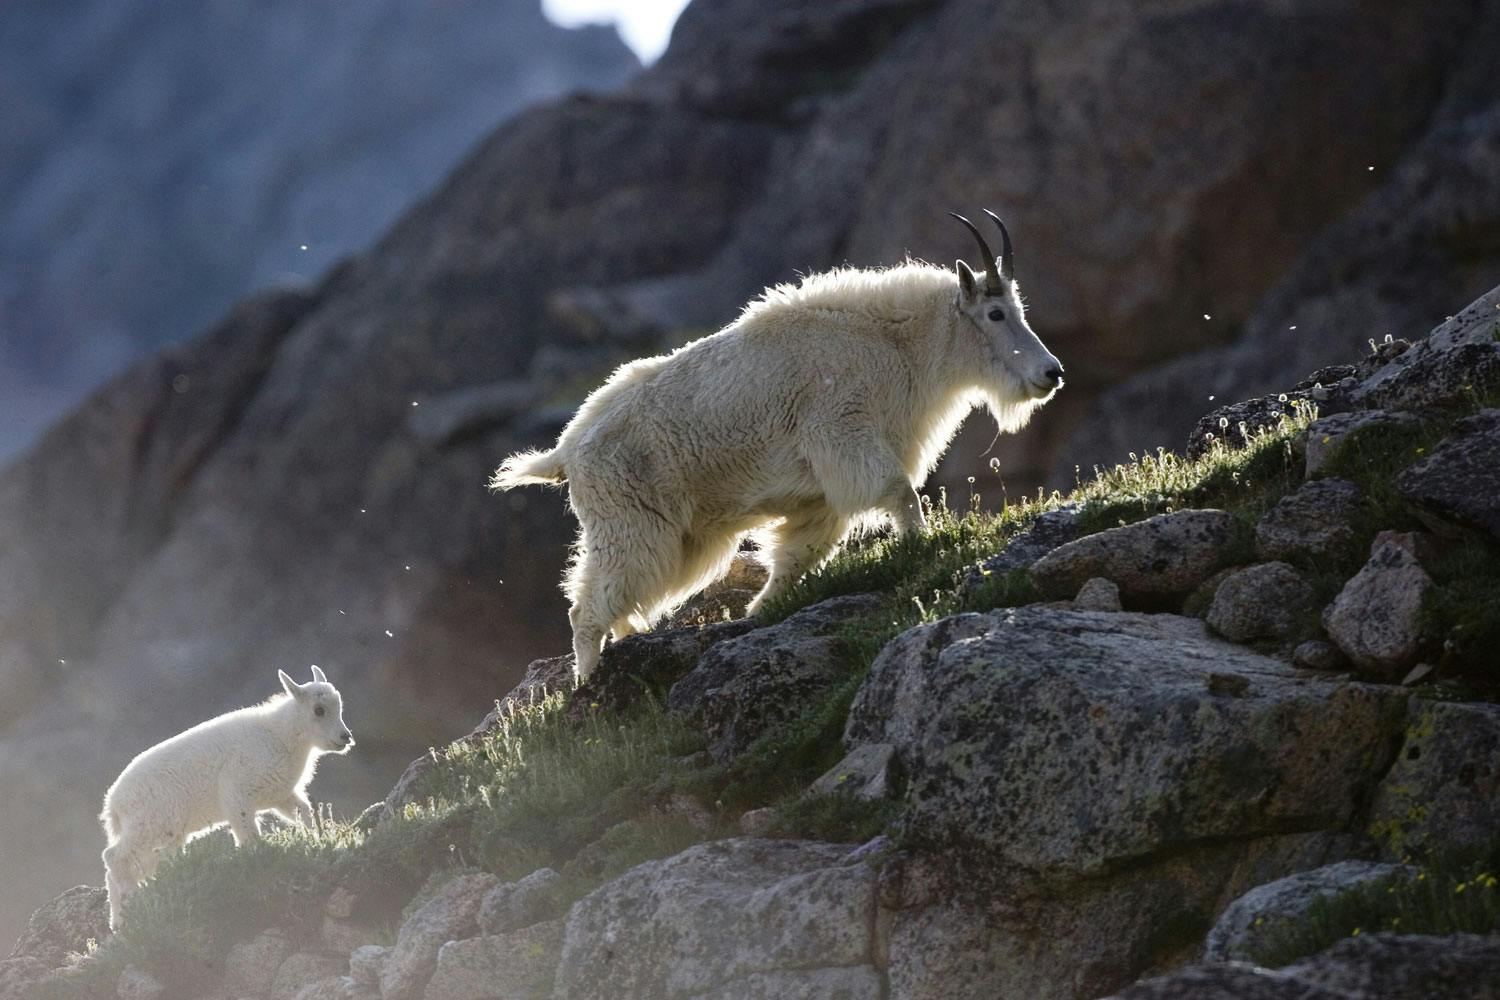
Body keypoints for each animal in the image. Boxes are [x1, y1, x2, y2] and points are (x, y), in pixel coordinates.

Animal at [100, 665, 357, 929]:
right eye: (319, 710)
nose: (345, 737)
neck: (280, 736)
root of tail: (113, 803)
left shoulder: (279, 795)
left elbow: (305, 812)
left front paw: (316, 839)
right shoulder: (236, 793)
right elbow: (249, 836)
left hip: (167, 834)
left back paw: (119, 920)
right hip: (151, 823)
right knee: (114, 857)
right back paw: (128, 900)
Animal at [495, 211, 1068, 680]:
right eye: (996, 314)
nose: (1052, 373)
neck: (896, 343)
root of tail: (567, 452)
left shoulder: (820, 493)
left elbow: (796, 556)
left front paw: (758, 613)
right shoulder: (842, 432)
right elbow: (899, 493)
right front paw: (923, 548)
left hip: (675, 536)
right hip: (631, 523)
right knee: (589, 606)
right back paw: (588, 686)